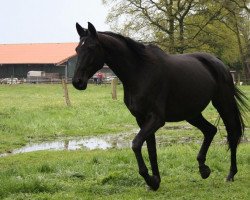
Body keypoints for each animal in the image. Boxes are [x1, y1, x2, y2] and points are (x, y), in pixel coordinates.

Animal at [72, 21, 248, 191]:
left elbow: (136, 144)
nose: (77, 82)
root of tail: (220, 64)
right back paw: (203, 169)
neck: (141, 72)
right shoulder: (142, 119)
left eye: (91, 47)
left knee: (232, 134)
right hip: (192, 113)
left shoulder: (156, 119)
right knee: (210, 130)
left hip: (223, 103)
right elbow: (151, 150)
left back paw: (230, 174)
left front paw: (150, 179)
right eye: (77, 49)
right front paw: (155, 181)